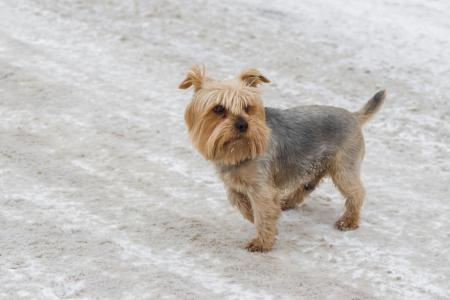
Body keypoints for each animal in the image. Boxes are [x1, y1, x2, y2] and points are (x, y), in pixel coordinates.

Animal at [179, 66, 386, 253]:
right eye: (218, 108)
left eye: (248, 108)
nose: (243, 124)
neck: (238, 151)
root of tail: (353, 116)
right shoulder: (234, 185)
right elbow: (241, 203)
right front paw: (258, 218)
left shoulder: (261, 188)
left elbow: (263, 212)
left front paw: (262, 242)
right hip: (314, 165)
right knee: (308, 185)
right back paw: (287, 202)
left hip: (343, 167)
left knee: (356, 192)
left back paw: (349, 220)